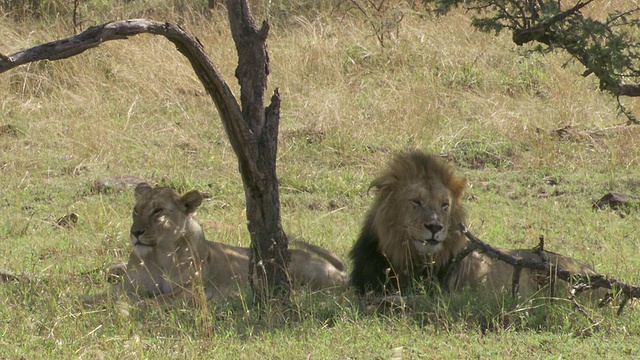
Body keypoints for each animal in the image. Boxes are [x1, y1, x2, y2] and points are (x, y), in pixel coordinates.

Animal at [84, 181, 348, 306]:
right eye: (135, 211)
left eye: (158, 211)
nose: (135, 232)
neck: (159, 254)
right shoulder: (130, 285)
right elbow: (100, 296)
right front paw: (82, 304)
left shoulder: (192, 291)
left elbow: (155, 301)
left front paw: (135, 306)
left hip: (315, 276)